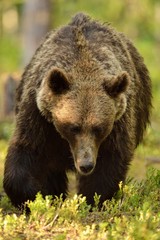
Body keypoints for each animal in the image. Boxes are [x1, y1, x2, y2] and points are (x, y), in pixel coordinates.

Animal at [3, 13, 152, 208]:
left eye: (99, 128)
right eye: (73, 127)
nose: (86, 165)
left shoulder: (119, 122)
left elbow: (110, 162)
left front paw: (93, 199)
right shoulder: (38, 117)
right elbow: (26, 150)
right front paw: (35, 196)